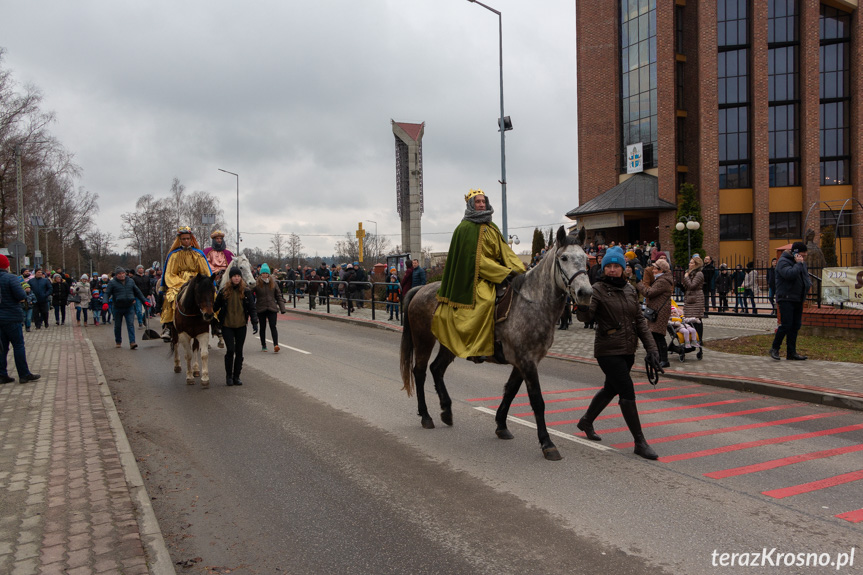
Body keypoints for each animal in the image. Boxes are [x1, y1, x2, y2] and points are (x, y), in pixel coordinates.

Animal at [400, 227, 592, 462]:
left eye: (585, 258)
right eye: (563, 258)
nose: (585, 293)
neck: (532, 303)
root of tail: (420, 289)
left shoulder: (523, 361)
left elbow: (510, 391)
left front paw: (501, 425)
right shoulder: (527, 361)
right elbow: (537, 401)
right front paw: (547, 443)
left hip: (449, 345)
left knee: (436, 369)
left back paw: (446, 410)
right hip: (424, 340)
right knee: (420, 372)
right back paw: (426, 416)